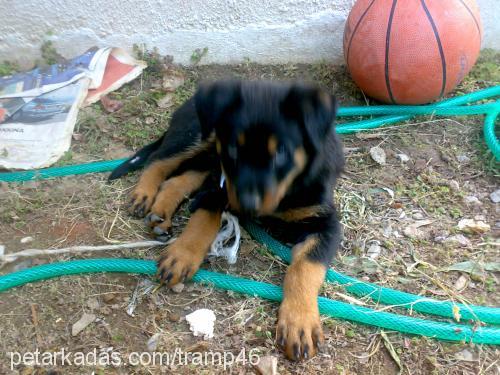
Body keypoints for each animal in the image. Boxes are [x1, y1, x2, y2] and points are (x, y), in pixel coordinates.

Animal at [109, 80, 344, 362]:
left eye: (282, 152)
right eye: (233, 148)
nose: (246, 206)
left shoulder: (325, 223)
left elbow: (305, 268)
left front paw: (299, 323)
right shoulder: (219, 189)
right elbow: (203, 220)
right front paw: (182, 255)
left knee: (179, 179)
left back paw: (160, 215)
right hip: (198, 137)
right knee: (159, 161)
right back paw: (143, 196)